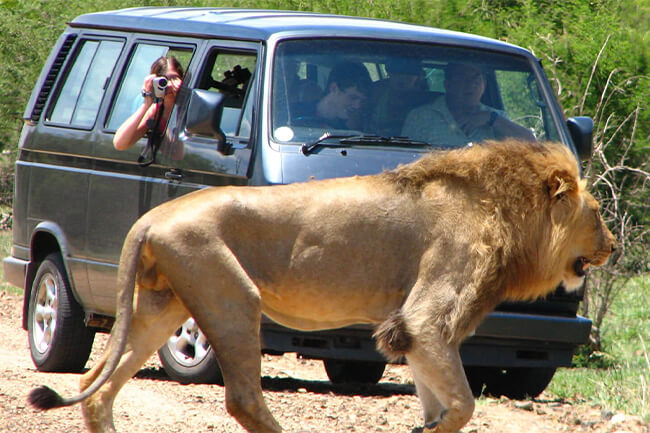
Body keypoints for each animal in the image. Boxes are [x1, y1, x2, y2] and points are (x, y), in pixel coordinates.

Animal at [29, 139, 612, 432]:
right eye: (599, 213)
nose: (613, 247)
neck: (509, 212)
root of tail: (150, 218)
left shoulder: (414, 333)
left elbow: (438, 404)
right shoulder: (427, 317)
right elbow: (464, 406)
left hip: (161, 306)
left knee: (97, 386)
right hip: (231, 295)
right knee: (243, 399)